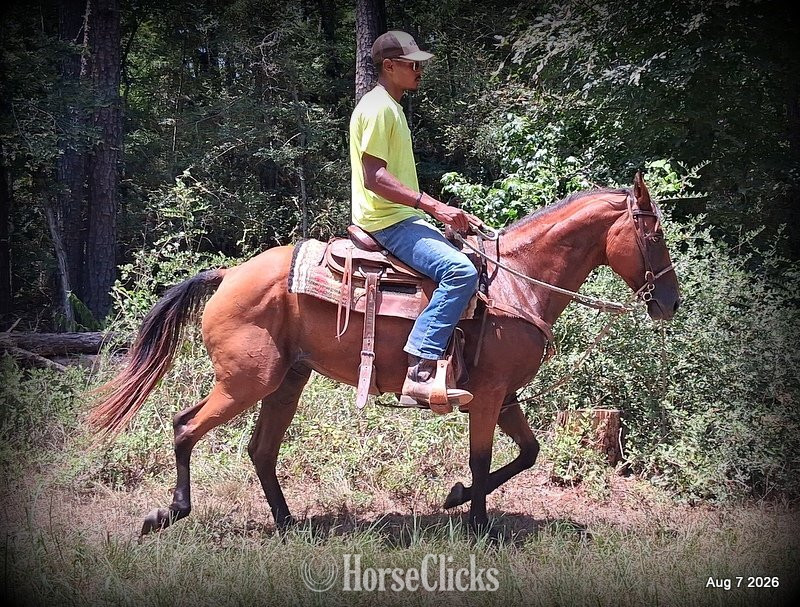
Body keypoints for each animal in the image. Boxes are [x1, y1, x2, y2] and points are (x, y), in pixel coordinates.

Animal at [87, 172, 680, 535]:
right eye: (654, 236)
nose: (670, 302)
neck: (517, 284)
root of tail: (229, 274)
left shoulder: (505, 395)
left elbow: (527, 454)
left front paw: (457, 498)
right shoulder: (488, 394)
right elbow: (483, 457)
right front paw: (479, 525)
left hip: (286, 381)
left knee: (260, 449)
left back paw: (287, 523)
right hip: (245, 382)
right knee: (186, 427)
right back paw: (169, 513)